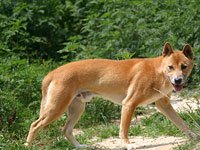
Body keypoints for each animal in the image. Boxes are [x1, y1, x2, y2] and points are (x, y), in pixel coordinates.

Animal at [25, 42, 197, 149]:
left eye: (184, 67)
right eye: (170, 67)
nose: (178, 80)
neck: (158, 71)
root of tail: (52, 73)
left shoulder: (163, 105)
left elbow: (182, 123)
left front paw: (194, 136)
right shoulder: (129, 104)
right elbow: (124, 130)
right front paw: (128, 144)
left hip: (77, 108)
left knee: (66, 130)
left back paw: (79, 146)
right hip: (56, 108)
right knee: (35, 125)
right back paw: (27, 146)